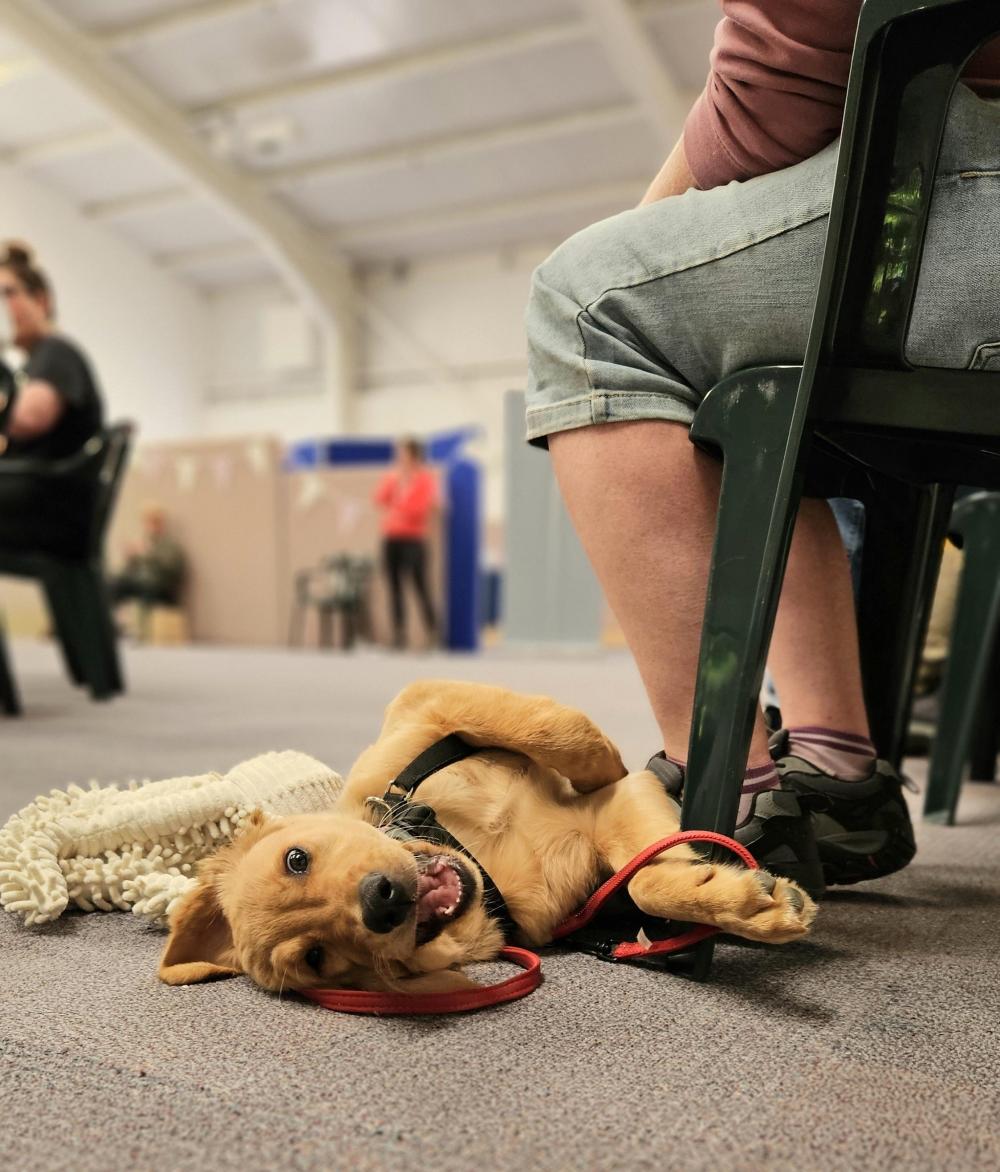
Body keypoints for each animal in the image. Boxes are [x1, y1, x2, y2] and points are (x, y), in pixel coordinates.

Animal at [155, 684, 811, 993]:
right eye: (316, 958)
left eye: (296, 859)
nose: (381, 901)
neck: (479, 860)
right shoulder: (611, 817)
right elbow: (644, 881)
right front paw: (740, 901)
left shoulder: (424, 703)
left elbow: (554, 730)